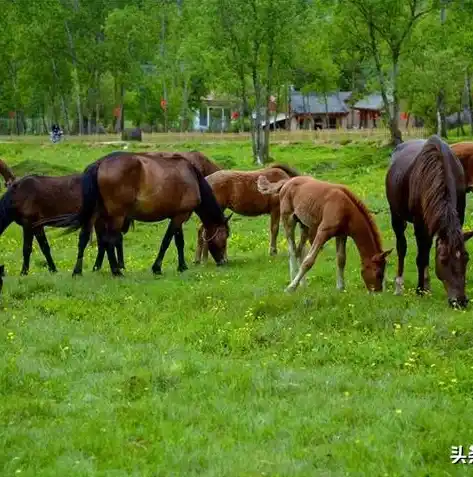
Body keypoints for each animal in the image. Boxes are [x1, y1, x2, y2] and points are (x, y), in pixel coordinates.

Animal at [37, 149, 230, 276]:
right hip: (116, 216)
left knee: (85, 238)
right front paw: (158, 267)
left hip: (96, 214)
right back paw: (116, 270)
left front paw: (181, 266)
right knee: (109, 241)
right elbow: (168, 241)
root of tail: (100, 164)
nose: (223, 262)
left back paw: (78, 271)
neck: (192, 177)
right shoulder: (180, 216)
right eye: (224, 237)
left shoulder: (177, 216)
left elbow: (178, 242)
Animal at [256, 175, 390, 292]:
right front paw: (290, 288)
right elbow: (308, 261)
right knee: (292, 251)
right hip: (288, 219)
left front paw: (340, 288)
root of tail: (287, 182)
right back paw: (293, 282)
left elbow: (341, 259)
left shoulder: (342, 234)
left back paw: (303, 285)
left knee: (299, 251)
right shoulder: (323, 232)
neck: (346, 209)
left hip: (304, 225)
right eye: (379, 273)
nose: (377, 291)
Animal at [384, 136, 472, 306]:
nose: (460, 301)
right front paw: (420, 290)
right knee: (402, 247)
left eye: (466, 258)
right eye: (443, 260)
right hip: (396, 215)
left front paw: (425, 286)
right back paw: (399, 285)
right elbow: (421, 257)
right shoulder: (419, 224)